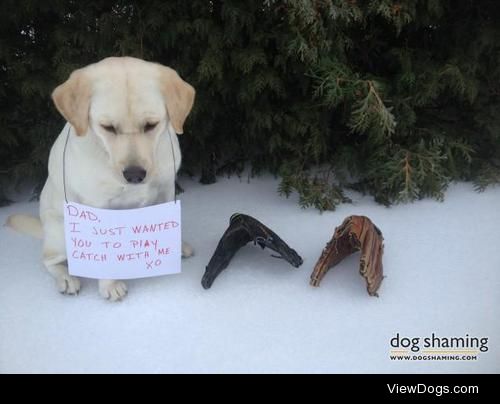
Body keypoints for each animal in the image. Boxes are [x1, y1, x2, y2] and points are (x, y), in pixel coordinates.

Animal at [8, 57, 195, 304]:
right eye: (108, 127)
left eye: (151, 125)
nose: (135, 174)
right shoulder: (98, 208)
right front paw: (110, 285)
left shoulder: (166, 189)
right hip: (60, 234)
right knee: (49, 260)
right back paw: (66, 278)